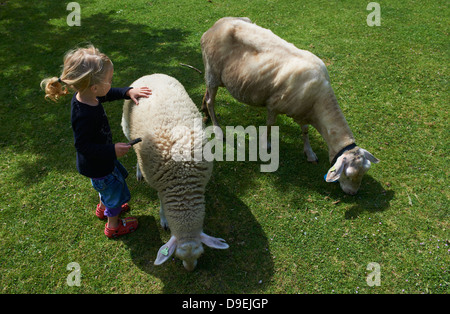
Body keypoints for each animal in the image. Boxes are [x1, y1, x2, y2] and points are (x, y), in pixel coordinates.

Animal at [121, 73, 229, 270]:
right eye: (177, 257)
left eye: (201, 254)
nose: (190, 270)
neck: (183, 181)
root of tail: (151, 74)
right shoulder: (159, 184)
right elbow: (161, 203)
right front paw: (164, 219)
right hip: (126, 127)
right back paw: (138, 172)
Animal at [201, 17, 380, 195]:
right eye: (348, 175)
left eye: (364, 172)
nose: (352, 193)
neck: (318, 103)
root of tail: (214, 26)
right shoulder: (273, 104)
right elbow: (270, 125)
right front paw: (266, 145)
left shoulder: (302, 111)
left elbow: (305, 130)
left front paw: (309, 153)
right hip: (213, 73)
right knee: (211, 100)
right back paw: (217, 128)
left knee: (207, 94)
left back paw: (204, 112)